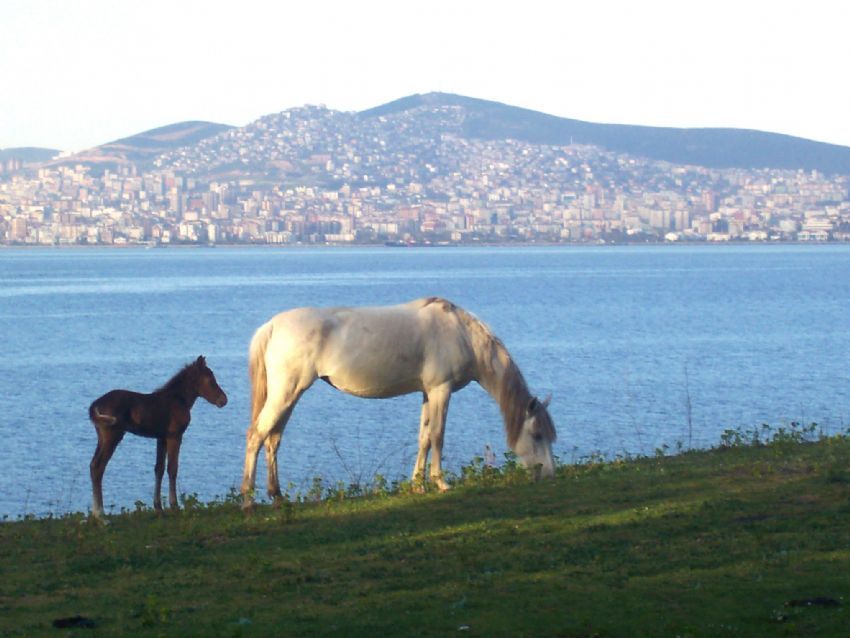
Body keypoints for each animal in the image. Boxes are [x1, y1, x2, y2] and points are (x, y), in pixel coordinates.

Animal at [88, 356, 227, 520]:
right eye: (210, 379)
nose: (223, 400)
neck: (180, 399)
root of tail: (94, 406)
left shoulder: (161, 437)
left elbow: (158, 469)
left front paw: (159, 508)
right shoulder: (175, 435)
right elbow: (172, 468)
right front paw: (174, 506)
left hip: (102, 436)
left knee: (92, 465)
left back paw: (95, 514)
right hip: (112, 435)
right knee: (99, 466)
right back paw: (101, 515)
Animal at [238, 298, 556, 512]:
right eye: (537, 434)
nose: (548, 475)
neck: (460, 334)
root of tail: (272, 326)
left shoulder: (428, 393)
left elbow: (423, 437)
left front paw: (417, 484)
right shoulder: (441, 390)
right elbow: (438, 436)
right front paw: (440, 482)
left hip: (290, 394)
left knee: (273, 439)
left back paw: (277, 496)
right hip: (287, 391)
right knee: (257, 435)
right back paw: (248, 501)